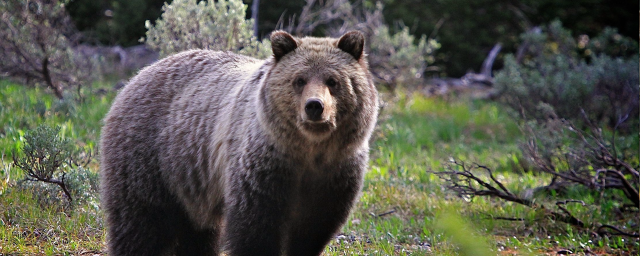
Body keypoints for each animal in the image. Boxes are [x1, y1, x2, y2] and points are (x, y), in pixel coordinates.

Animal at [100, 30, 380, 256]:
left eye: (333, 81)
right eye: (299, 80)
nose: (314, 106)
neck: (308, 151)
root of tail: (136, 77)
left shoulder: (335, 174)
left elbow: (313, 230)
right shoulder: (262, 166)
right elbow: (255, 228)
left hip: (190, 183)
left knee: (197, 231)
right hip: (150, 158)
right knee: (140, 223)